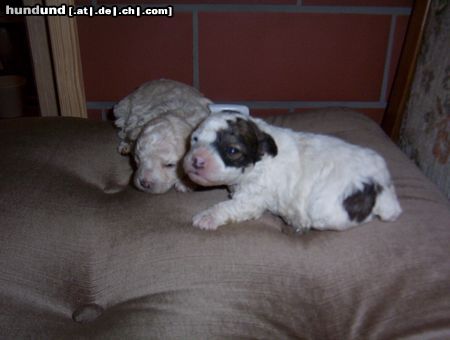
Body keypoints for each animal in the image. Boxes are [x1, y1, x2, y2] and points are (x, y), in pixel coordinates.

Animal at [183, 113, 400, 232]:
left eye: (232, 150)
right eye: (195, 139)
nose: (196, 160)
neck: (262, 158)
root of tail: (381, 183)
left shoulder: (253, 198)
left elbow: (228, 206)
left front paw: (207, 217)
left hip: (326, 211)